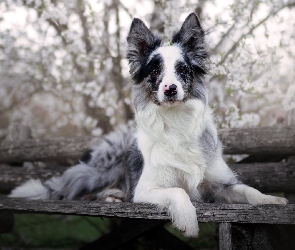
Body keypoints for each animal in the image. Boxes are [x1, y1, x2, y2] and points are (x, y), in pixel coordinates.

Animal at [10, 12, 288, 237]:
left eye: (182, 70)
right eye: (154, 71)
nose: (170, 89)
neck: (176, 120)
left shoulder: (221, 185)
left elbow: (248, 190)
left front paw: (271, 200)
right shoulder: (145, 189)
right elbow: (179, 192)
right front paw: (188, 221)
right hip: (106, 164)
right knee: (77, 190)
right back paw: (111, 196)